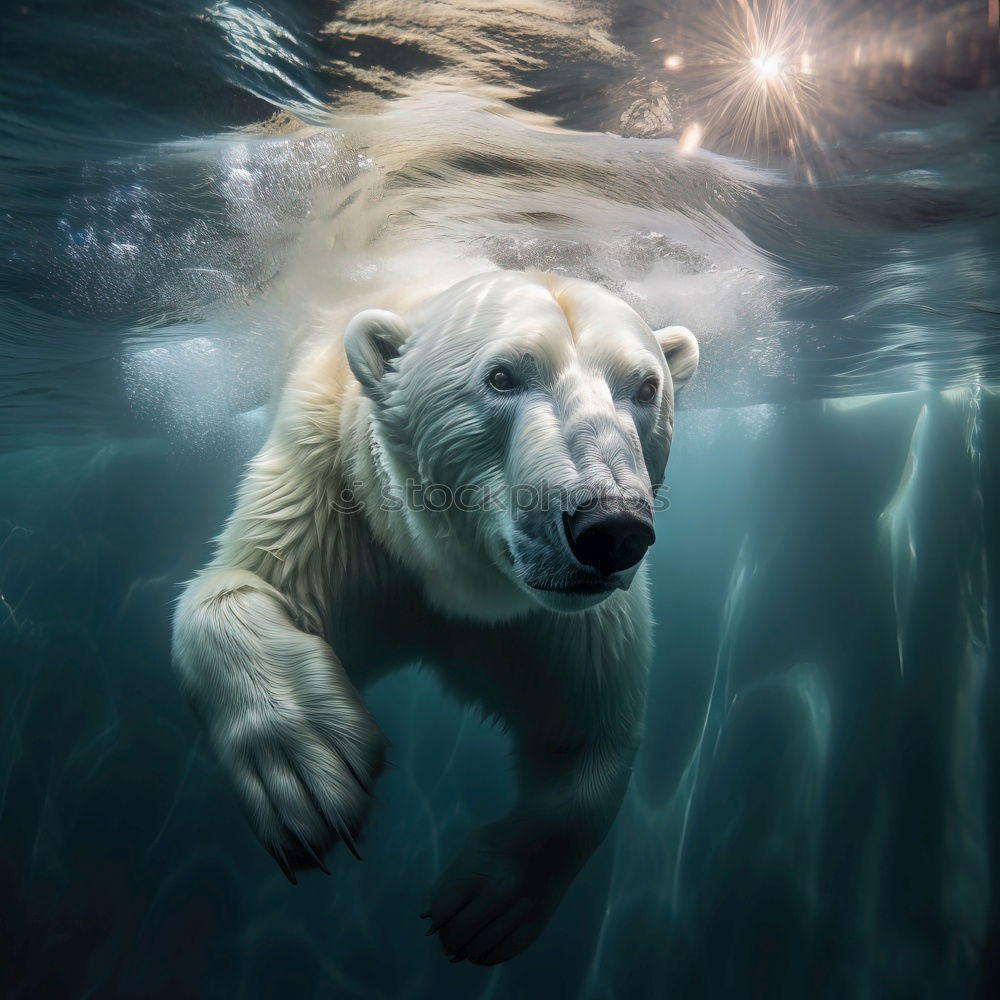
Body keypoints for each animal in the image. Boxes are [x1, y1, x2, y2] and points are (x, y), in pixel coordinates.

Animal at [172, 270, 696, 964]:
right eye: (501, 376)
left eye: (645, 387)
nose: (611, 529)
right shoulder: (333, 491)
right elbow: (235, 585)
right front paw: (308, 776)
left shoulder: (554, 619)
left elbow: (588, 733)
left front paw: (486, 907)